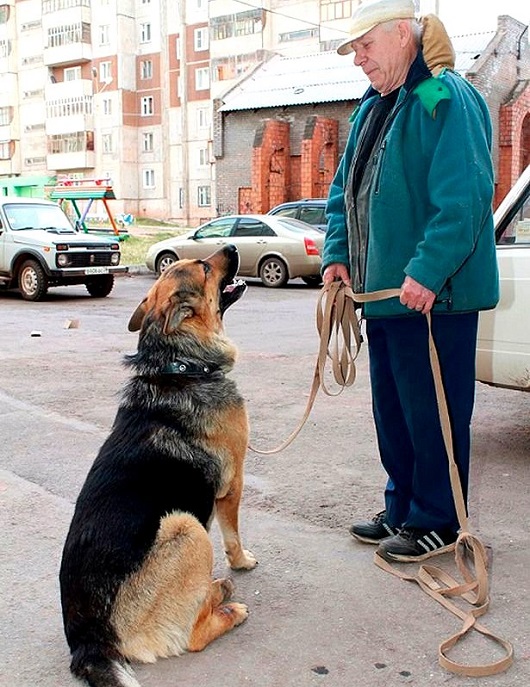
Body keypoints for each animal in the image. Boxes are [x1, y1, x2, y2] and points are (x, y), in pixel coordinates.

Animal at [59, 246, 256, 687]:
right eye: (204, 267)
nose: (234, 247)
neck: (179, 364)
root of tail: (88, 641)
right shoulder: (233, 483)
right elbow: (233, 536)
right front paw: (242, 562)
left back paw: (216, 590)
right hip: (185, 525)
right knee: (194, 635)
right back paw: (228, 607)